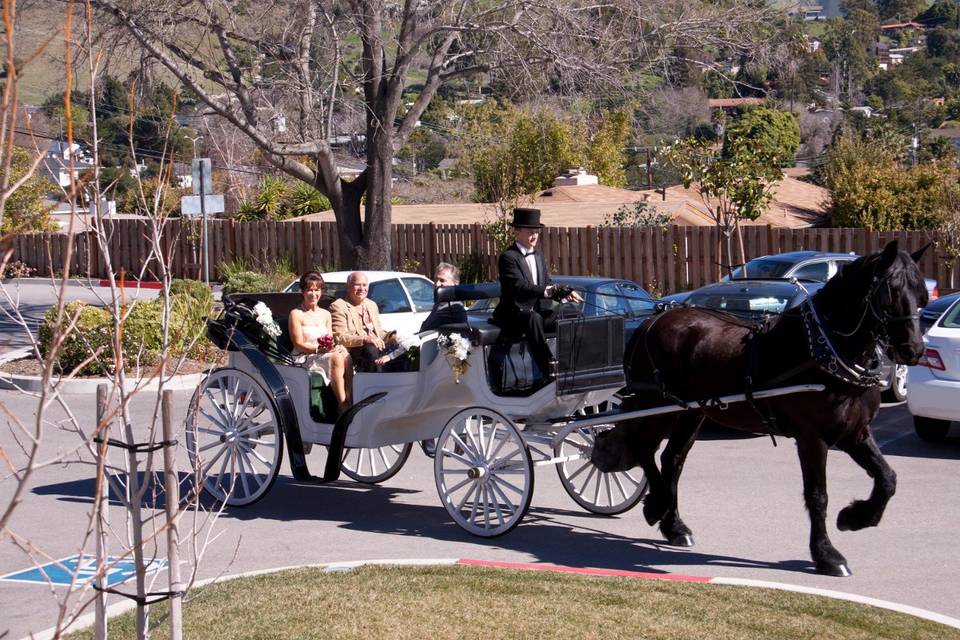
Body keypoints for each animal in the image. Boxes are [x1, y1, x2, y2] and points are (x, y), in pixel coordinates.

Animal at [592, 242, 928, 576]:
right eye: (890, 293)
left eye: (922, 294)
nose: (913, 349)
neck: (822, 349)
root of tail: (651, 320)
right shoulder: (812, 438)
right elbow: (817, 495)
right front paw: (827, 555)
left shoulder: (854, 433)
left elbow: (887, 479)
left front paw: (854, 518)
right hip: (657, 405)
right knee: (644, 448)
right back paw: (657, 505)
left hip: (691, 412)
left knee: (671, 459)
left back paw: (674, 526)